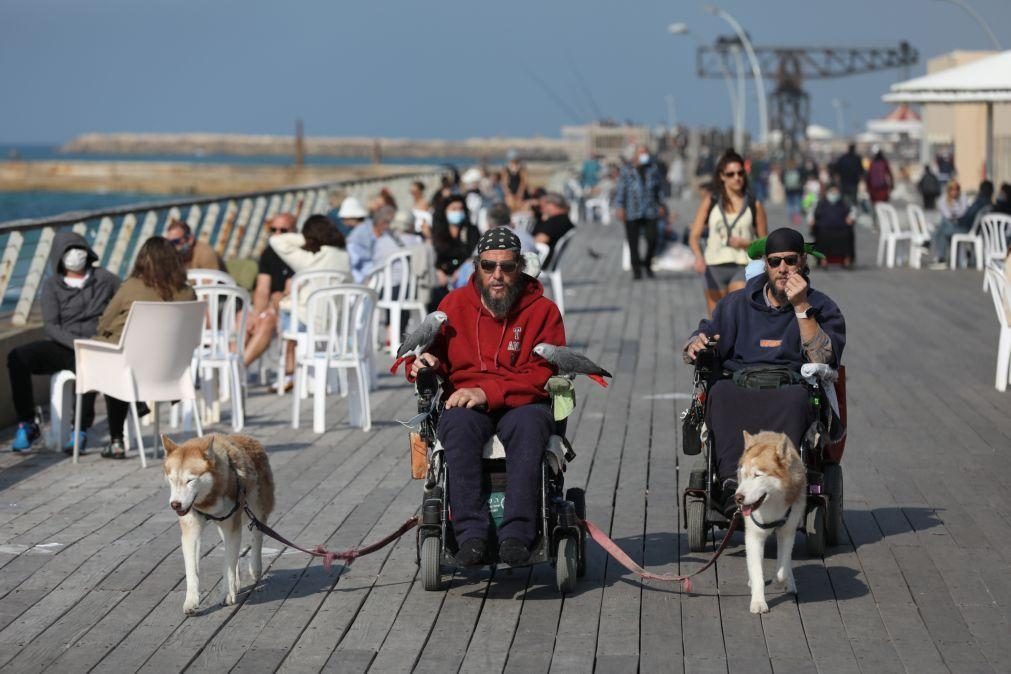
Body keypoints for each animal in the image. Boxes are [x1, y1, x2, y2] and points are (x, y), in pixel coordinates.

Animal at [161, 434, 274, 614]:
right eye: (171, 480)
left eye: (190, 480)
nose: (175, 505)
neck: (207, 501)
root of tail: (248, 437)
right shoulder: (191, 531)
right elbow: (192, 570)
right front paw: (191, 601)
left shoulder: (231, 526)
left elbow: (228, 564)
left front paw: (227, 594)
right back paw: (236, 583)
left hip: (257, 508)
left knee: (257, 534)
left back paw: (255, 568)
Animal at [736, 432, 804, 618]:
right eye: (744, 475)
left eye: (757, 475)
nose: (738, 497)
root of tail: (767, 432)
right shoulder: (754, 536)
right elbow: (757, 572)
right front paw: (758, 602)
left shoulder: (787, 532)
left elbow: (782, 568)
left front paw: (781, 581)